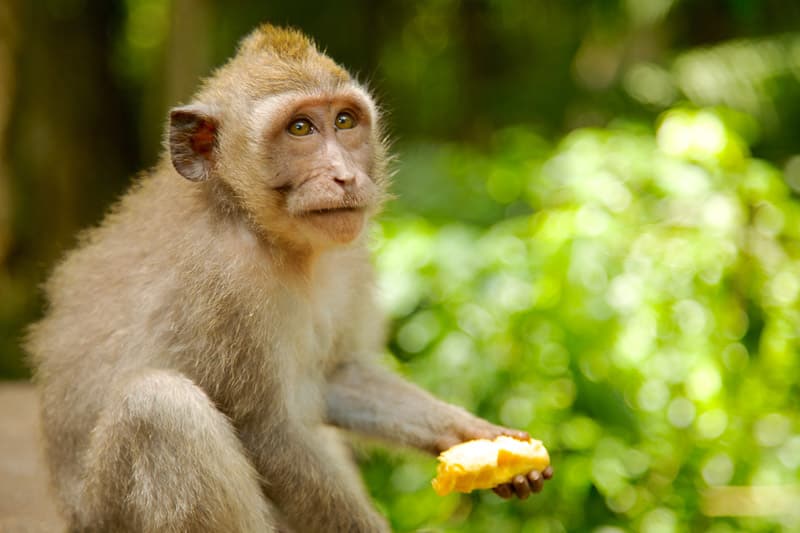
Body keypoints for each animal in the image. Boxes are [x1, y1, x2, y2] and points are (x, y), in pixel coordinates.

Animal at [25, 25, 552, 532]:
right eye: (300, 128)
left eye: (344, 121)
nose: (344, 176)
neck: (261, 228)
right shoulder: (224, 281)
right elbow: (268, 432)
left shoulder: (350, 254)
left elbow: (335, 375)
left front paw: (479, 438)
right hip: (106, 513)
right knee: (158, 409)